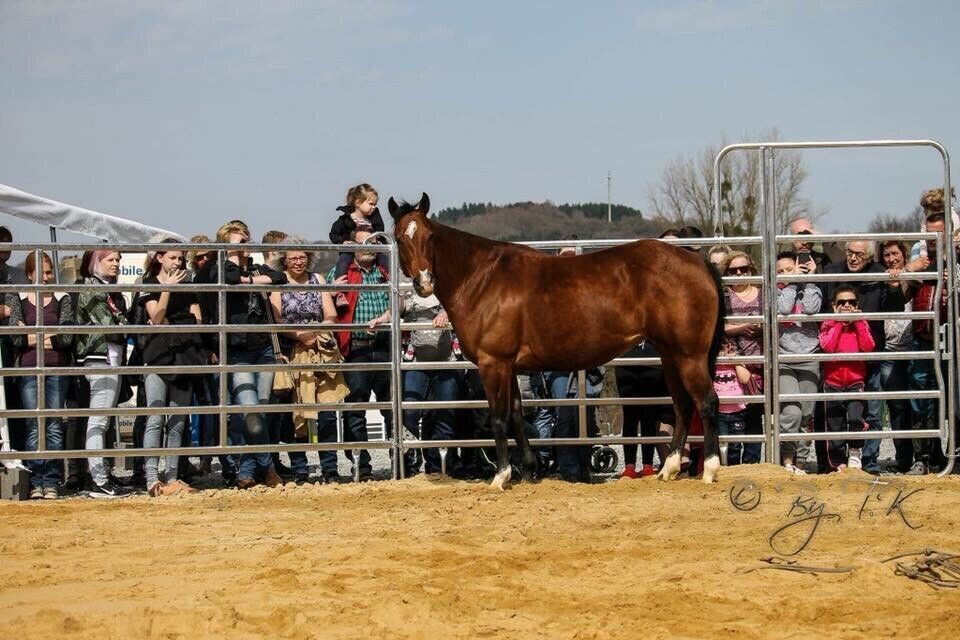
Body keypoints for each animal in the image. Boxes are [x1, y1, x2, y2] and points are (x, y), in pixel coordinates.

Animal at [386, 192, 724, 488]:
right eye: (400, 238)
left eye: (429, 237)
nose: (424, 282)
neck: (482, 278)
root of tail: (695, 260)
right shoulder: (510, 366)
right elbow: (516, 415)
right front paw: (527, 471)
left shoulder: (493, 363)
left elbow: (498, 418)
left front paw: (500, 476)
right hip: (670, 354)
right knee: (682, 405)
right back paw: (669, 468)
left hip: (690, 355)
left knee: (707, 402)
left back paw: (709, 469)